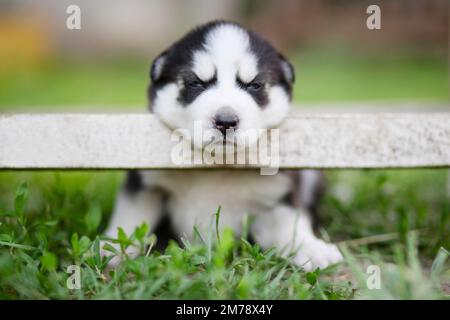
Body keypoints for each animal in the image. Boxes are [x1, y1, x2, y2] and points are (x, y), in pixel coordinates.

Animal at [103, 20, 342, 270]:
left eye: (254, 85)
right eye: (195, 83)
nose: (226, 121)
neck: (218, 168)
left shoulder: (276, 194)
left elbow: (290, 225)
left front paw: (312, 249)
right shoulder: (147, 183)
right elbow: (131, 215)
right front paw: (115, 246)